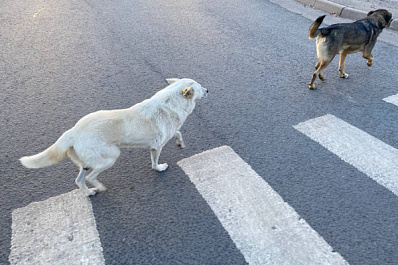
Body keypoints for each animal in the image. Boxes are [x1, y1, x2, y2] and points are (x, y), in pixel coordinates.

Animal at [19, 77, 207, 195]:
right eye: (199, 87)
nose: (207, 89)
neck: (172, 101)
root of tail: (73, 131)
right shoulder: (157, 146)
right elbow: (155, 162)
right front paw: (159, 168)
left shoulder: (167, 134)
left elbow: (178, 132)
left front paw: (180, 143)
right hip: (111, 157)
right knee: (91, 177)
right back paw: (100, 187)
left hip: (87, 162)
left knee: (79, 180)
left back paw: (89, 193)